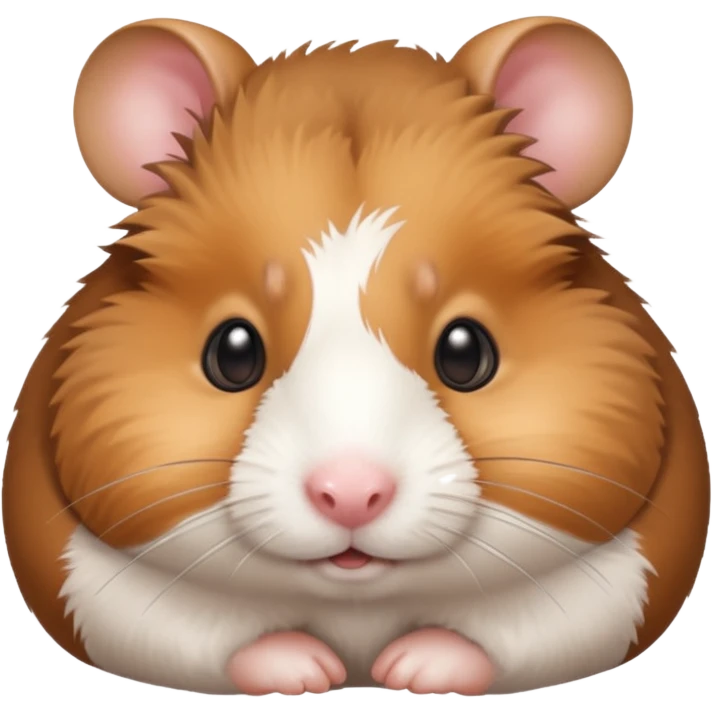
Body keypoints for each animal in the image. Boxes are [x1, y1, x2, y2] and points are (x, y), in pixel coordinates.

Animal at [2, 16, 710, 697]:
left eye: (466, 351)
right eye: (231, 352)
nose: (349, 495)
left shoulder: (621, 581)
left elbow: (513, 636)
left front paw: (414, 668)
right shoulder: (94, 587)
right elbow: (206, 637)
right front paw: (308, 670)